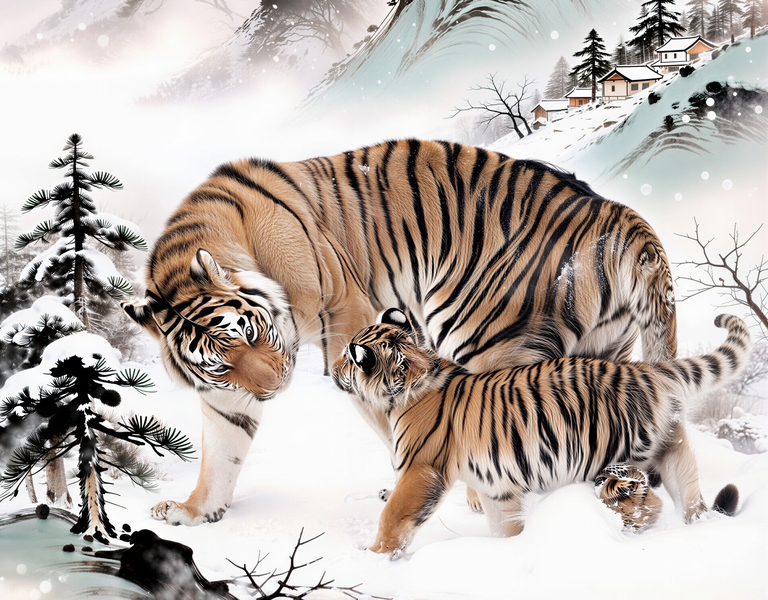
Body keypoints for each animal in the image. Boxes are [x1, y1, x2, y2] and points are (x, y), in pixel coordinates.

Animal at [123, 139, 679, 526]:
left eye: (252, 332)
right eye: (221, 362)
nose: (276, 385)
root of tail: (620, 217)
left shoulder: (348, 313)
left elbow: (384, 413)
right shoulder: (227, 394)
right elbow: (221, 449)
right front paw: (193, 511)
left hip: (488, 338)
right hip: (603, 354)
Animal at [330, 309, 750, 557]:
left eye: (350, 357)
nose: (332, 368)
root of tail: (645, 370)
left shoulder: (421, 470)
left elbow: (393, 517)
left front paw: (375, 558)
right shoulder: (497, 487)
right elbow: (504, 525)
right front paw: (511, 550)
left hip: (608, 456)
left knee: (641, 496)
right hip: (673, 448)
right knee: (687, 499)